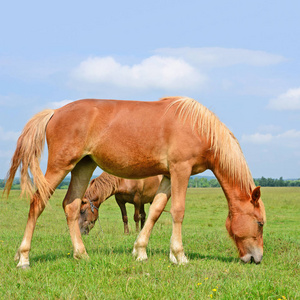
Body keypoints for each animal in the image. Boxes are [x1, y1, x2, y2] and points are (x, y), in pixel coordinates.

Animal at [4, 96, 264, 270]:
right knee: (37, 202)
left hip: (83, 166)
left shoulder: (167, 175)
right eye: (260, 223)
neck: (198, 127)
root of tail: (55, 111)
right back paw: (24, 257)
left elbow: (156, 210)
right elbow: (178, 211)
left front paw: (140, 251)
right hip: (60, 166)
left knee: (71, 205)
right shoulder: (181, 169)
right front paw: (179, 255)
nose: (257, 258)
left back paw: (81, 254)